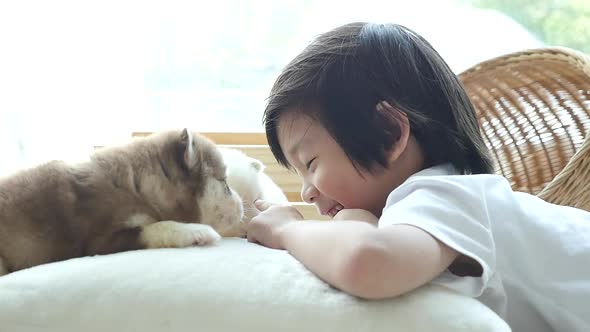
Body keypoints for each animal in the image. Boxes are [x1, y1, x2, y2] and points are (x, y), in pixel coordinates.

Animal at [0, 128, 245, 276]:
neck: (138, 186)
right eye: (224, 182)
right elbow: (157, 226)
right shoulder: (101, 241)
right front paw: (197, 231)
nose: (244, 205)